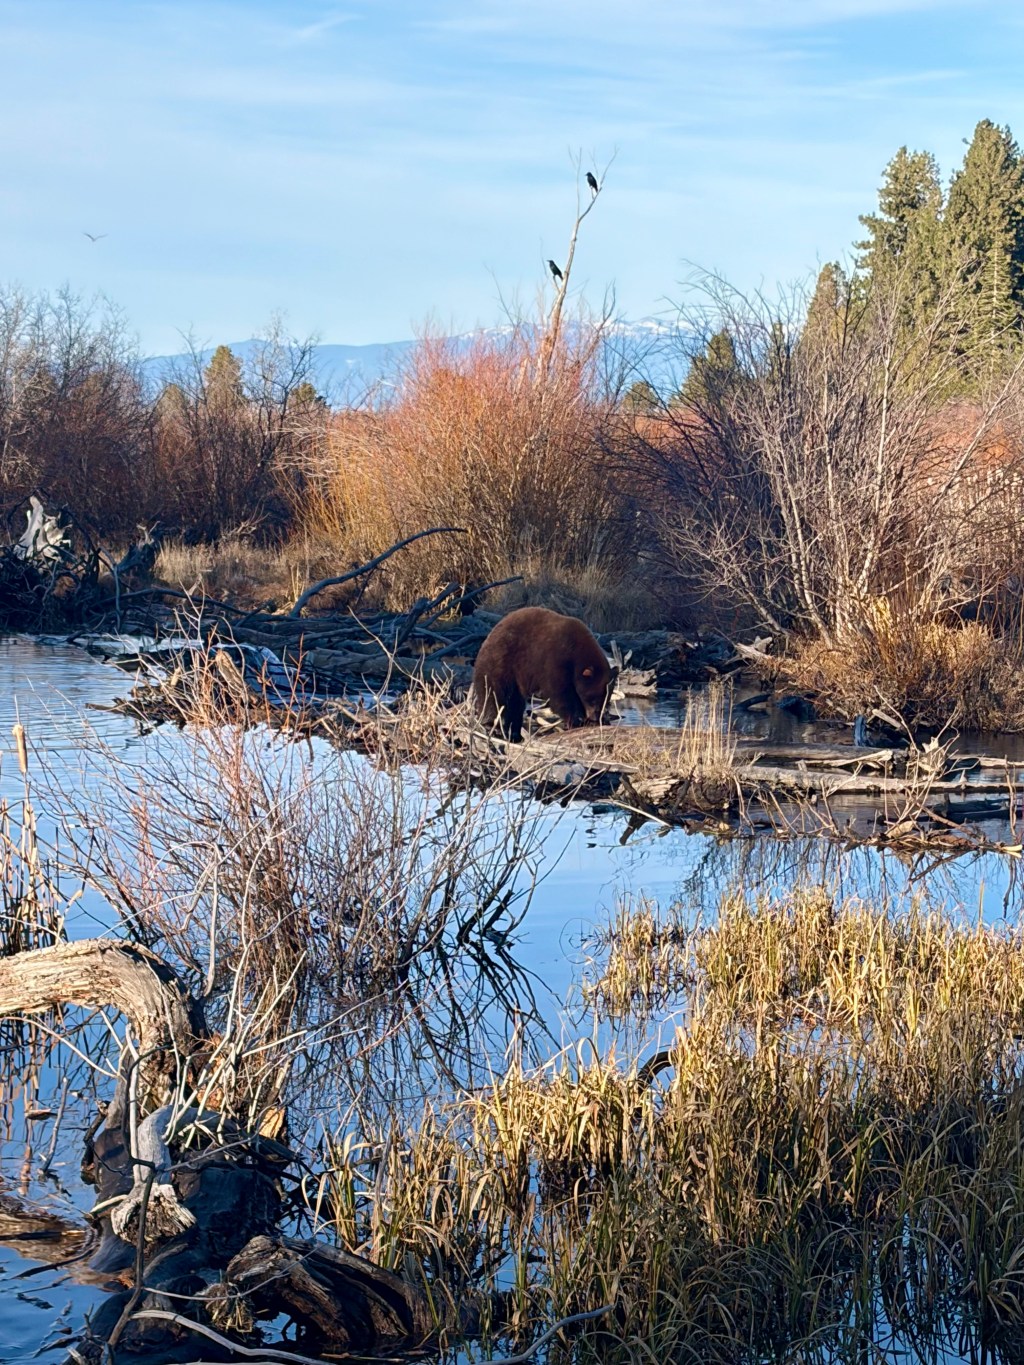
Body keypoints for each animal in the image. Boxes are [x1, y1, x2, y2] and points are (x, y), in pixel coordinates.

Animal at [471, 606, 616, 742]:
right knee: (495, 695)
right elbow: (560, 694)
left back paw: (515, 732)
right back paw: (493, 727)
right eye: (592, 698)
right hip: (500, 665)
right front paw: (577, 720)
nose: (595, 716)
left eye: (606, 698)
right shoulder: (554, 661)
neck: (576, 653)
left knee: (515, 703)